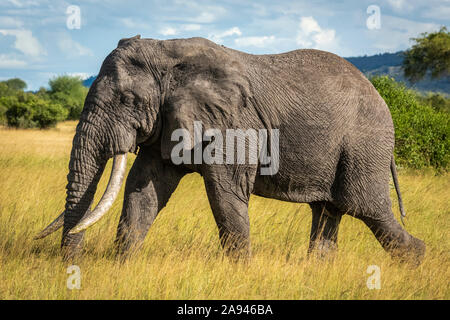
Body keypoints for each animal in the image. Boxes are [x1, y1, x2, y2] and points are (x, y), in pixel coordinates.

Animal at [35, 35, 426, 264]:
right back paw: (317, 270)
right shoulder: (170, 118)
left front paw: (241, 271)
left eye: (127, 100)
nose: (70, 266)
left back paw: (418, 262)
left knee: (365, 207)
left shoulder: (235, 122)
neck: (169, 51)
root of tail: (381, 97)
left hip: (364, 144)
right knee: (328, 211)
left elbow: (224, 192)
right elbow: (143, 188)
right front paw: (122, 267)